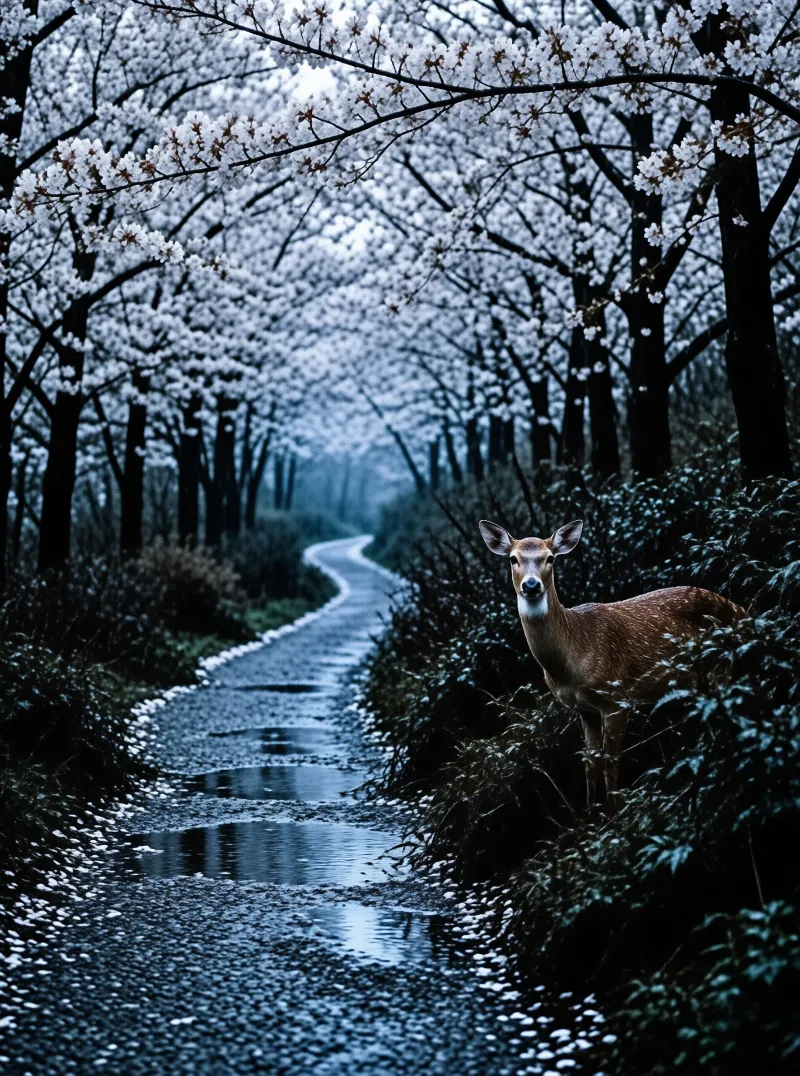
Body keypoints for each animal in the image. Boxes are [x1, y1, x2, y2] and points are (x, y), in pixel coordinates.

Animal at [479, 518, 745, 805]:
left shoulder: (617, 699)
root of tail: (742, 610)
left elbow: (611, 762)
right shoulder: (584, 710)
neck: (569, 665)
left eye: (550, 558)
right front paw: (591, 810)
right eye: (513, 559)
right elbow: (590, 764)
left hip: (720, 659)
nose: (530, 585)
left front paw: (614, 809)